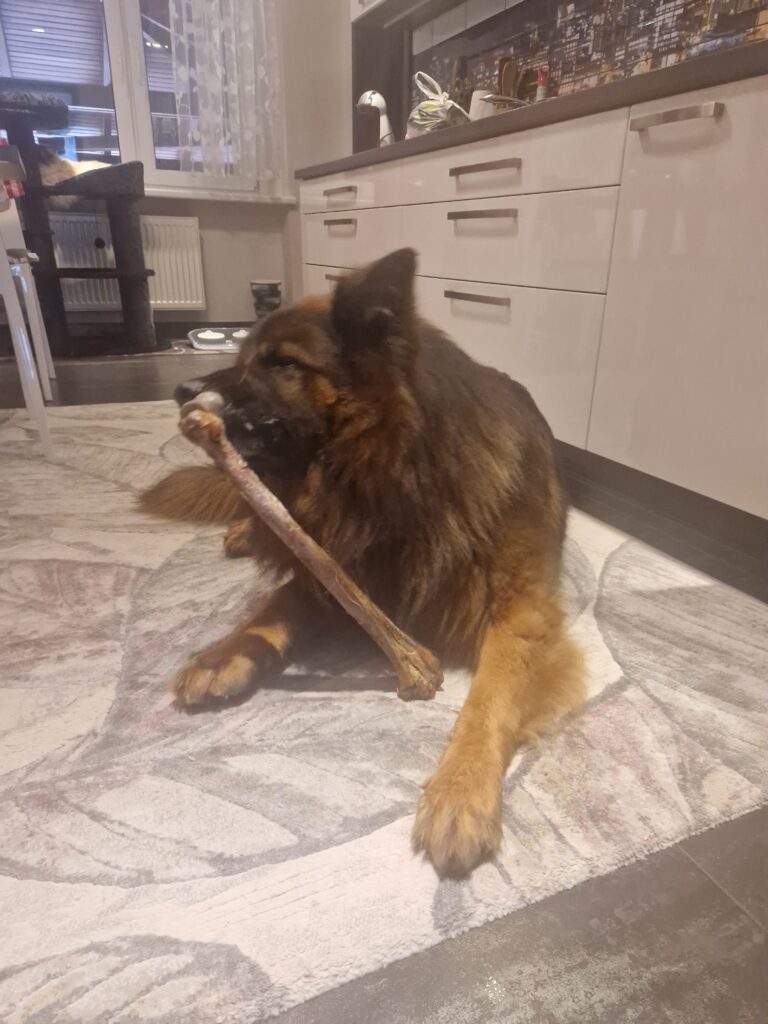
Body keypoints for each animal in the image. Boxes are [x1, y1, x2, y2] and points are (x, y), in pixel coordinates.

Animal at [140, 248, 584, 876]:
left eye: (282, 363)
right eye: (243, 356)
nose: (182, 390)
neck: (391, 481)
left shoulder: (521, 612)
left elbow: (489, 698)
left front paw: (460, 786)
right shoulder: (336, 565)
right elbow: (277, 603)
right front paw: (226, 652)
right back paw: (244, 530)